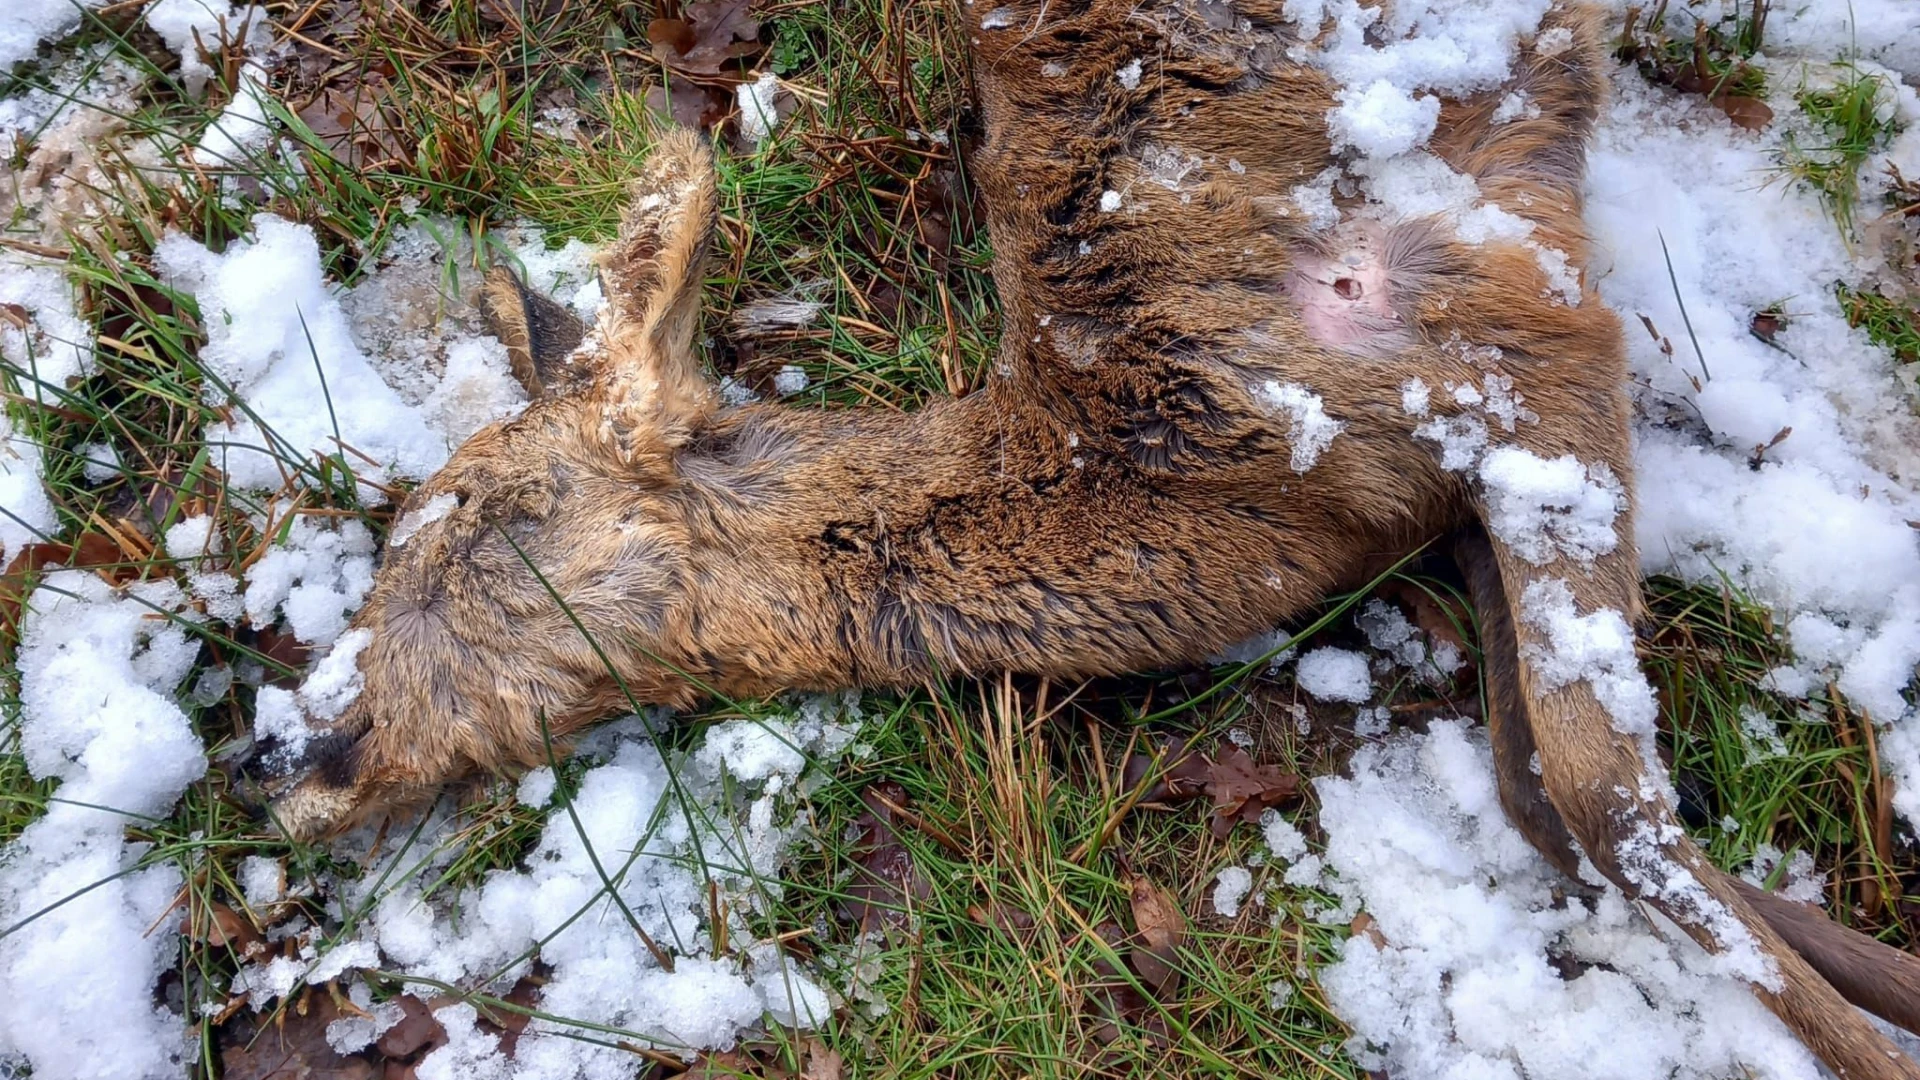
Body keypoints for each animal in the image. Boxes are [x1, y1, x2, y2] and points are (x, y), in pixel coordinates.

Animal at [259, 2, 1920, 1068]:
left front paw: (1880, 1034)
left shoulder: (1519, 336)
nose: (290, 751)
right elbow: (1535, 784)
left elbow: (1599, 794)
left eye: (472, 519)